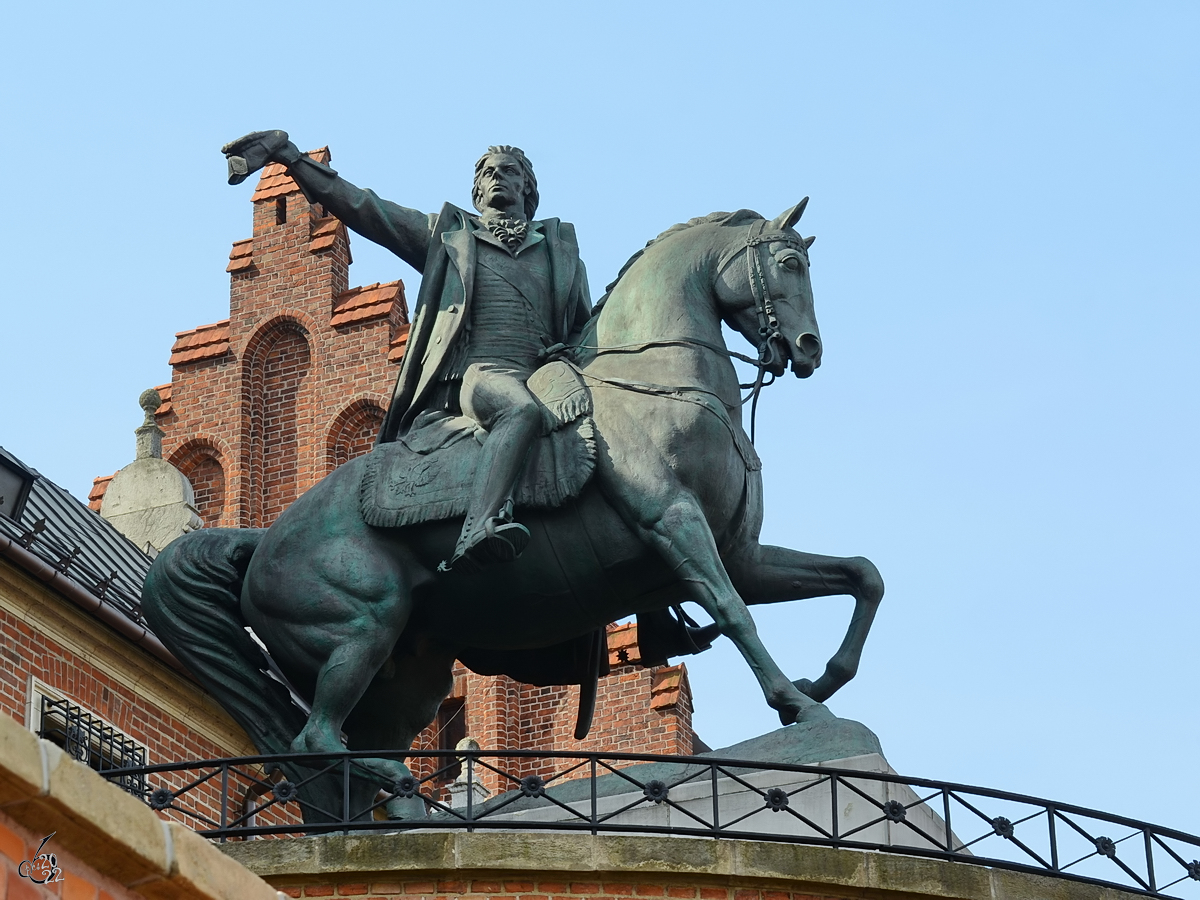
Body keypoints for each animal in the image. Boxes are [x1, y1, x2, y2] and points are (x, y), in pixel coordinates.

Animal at [145, 202, 888, 816]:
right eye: (790, 263)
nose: (809, 349)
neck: (654, 384)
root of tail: (258, 545)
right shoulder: (675, 525)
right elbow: (736, 614)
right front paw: (799, 705)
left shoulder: (743, 553)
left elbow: (862, 576)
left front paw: (825, 679)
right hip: (360, 621)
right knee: (318, 740)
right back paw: (402, 785)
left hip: (411, 672)